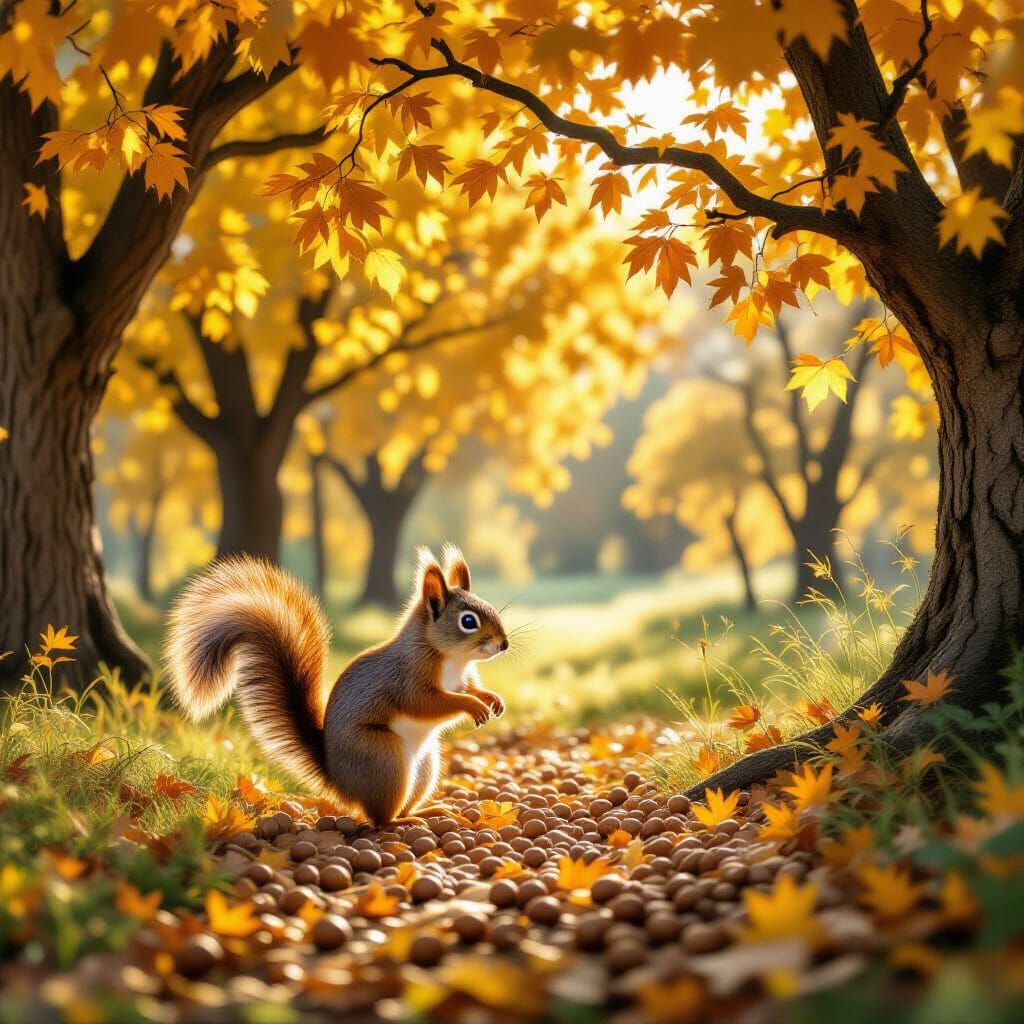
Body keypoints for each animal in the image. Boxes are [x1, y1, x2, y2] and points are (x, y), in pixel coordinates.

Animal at [164, 545, 508, 826]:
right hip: (384, 758)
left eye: (490, 606)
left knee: (403, 804)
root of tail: (340, 781)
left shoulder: (463, 677)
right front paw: (472, 706)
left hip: (425, 766)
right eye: (468, 621)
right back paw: (401, 821)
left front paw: (490, 698)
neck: (453, 659)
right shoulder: (408, 677)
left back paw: (428, 811)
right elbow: (426, 703)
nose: (504, 644)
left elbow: (469, 688)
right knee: (380, 819)